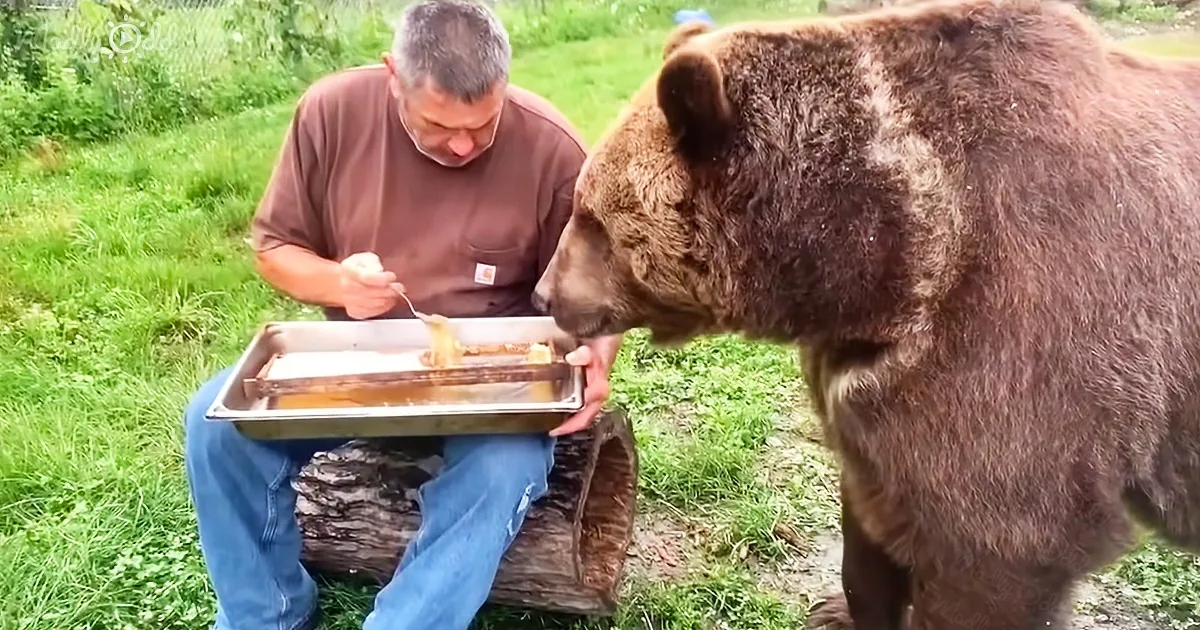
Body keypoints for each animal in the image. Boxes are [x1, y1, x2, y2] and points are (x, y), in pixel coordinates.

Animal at [531, 0, 1200, 628]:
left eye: (589, 216)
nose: (545, 294)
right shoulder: (870, 388)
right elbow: (872, 522)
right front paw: (841, 606)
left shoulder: (1020, 344)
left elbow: (995, 548)